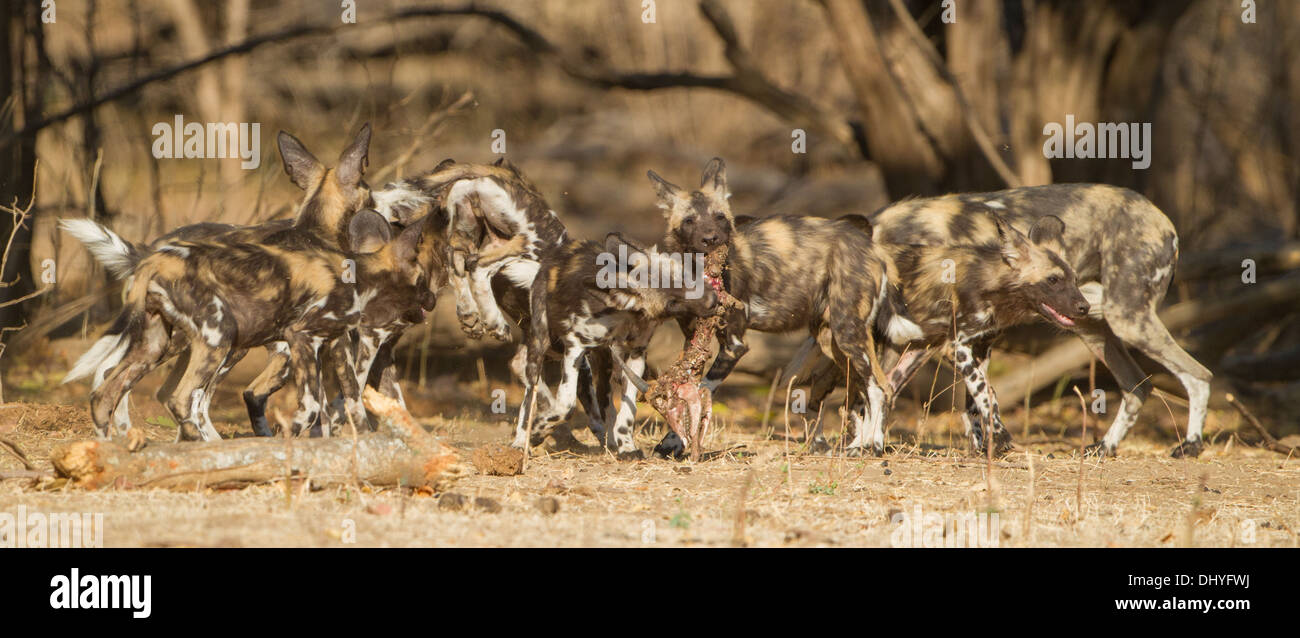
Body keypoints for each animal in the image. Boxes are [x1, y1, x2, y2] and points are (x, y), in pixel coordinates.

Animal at [514, 232, 722, 457]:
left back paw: (612, 441)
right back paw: (521, 440)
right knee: (530, 392)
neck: (626, 316)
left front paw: (627, 445)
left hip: (603, 359)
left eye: (684, 276)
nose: (714, 300)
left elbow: (628, 410)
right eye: (672, 303)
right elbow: (565, 406)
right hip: (540, 343)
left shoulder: (636, 355)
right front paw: (538, 431)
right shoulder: (574, 347)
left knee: (604, 399)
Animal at [647, 159, 904, 459]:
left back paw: (871, 447)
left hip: (849, 335)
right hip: (835, 342)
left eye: (720, 217)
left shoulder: (734, 345)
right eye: (689, 221)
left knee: (879, 388)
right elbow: (685, 392)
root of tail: (873, 248)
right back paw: (858, 445)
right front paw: (672, 442)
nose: (711, 239)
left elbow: (700, 390)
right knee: (865, 388)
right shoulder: (692, 342)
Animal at [863, 184, 1206, 459]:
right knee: (1137, 385)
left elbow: (976, 395)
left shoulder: (946, 341)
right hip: (1089, 323)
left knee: (1197, 374)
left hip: (1126, 319)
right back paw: (1105, 447)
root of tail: (1165, 221)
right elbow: (967, 399)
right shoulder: (954, 340)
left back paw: (1190, 445)